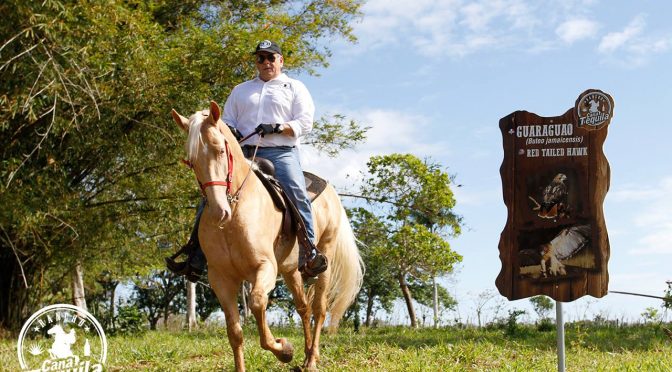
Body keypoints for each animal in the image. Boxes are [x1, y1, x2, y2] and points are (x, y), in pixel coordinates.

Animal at [172, 100, 362, 370]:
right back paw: (306, 356)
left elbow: (257, 302)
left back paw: (312, 359)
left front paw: (285, 350)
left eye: (220, 151)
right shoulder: (221, 279)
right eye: (191, 161)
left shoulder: (265, 267)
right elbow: (235, 333)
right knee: (303, 307)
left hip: (325, 255)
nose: (219, 212)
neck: (236, 211)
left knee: (319, 308)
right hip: (290, 269)